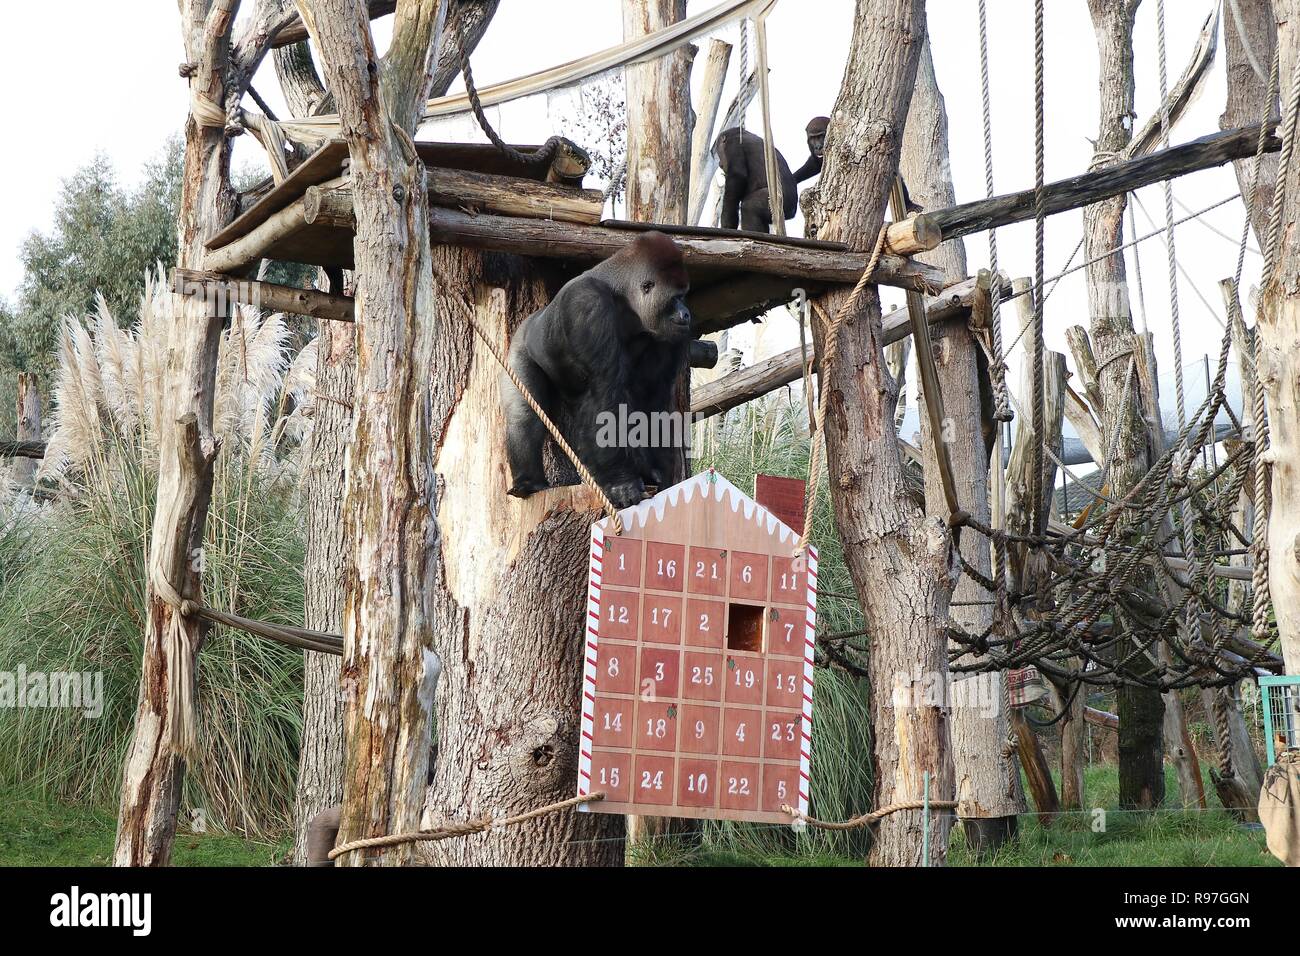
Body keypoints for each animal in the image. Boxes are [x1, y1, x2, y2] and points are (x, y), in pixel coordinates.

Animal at [501, 230, 696, 509]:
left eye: (684, 295)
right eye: (676, 297)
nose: (687, 314)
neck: (624, 297)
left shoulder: (668, 335)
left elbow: (650, 401)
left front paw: (657, 472)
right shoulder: (588, 305)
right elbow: (605, 392)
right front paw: (621, 483)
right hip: (518, 346)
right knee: (524, 414)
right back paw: (529, 481)